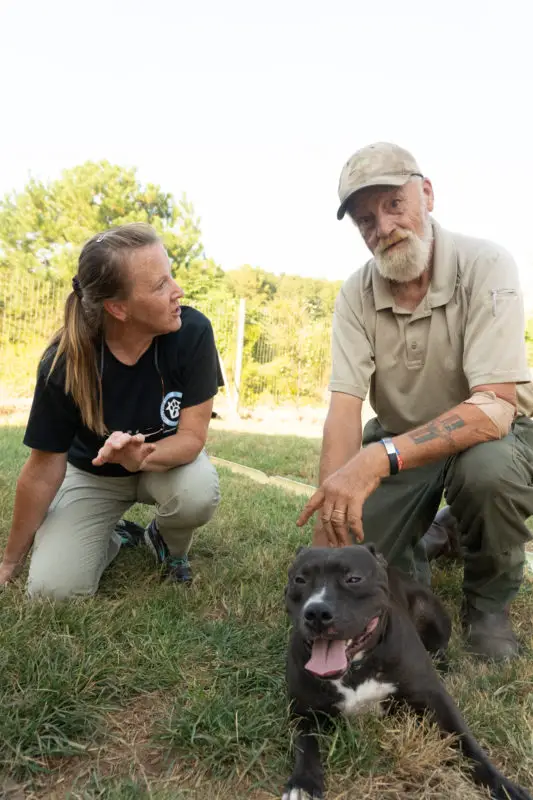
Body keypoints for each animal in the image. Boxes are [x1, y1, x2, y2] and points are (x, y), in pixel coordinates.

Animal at [282, 548, 528, 800]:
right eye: (299, 580)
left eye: (354, 579)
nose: (316, 612)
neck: (356, 666)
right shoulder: (303, 711)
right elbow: (306, 746)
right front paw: (303, 783)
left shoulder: (436, 699)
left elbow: (468, 743)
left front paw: (503, 785)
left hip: (427, 610)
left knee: (439, 648)